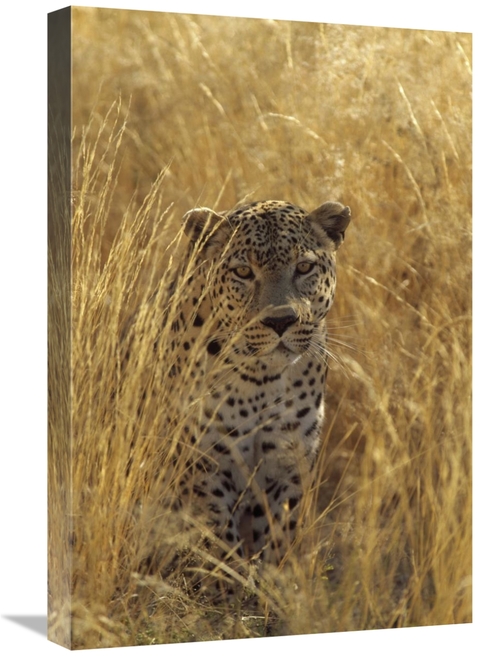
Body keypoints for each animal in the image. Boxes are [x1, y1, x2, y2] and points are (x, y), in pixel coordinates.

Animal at [130, 199, 350, 574]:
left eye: (304, 267)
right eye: (244, 273)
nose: (281, 321)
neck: (262, 378)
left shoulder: (288, 461)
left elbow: (278, 537)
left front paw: (270, 580)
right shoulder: (203, 463)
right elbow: (220, 541)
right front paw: (230, 582)